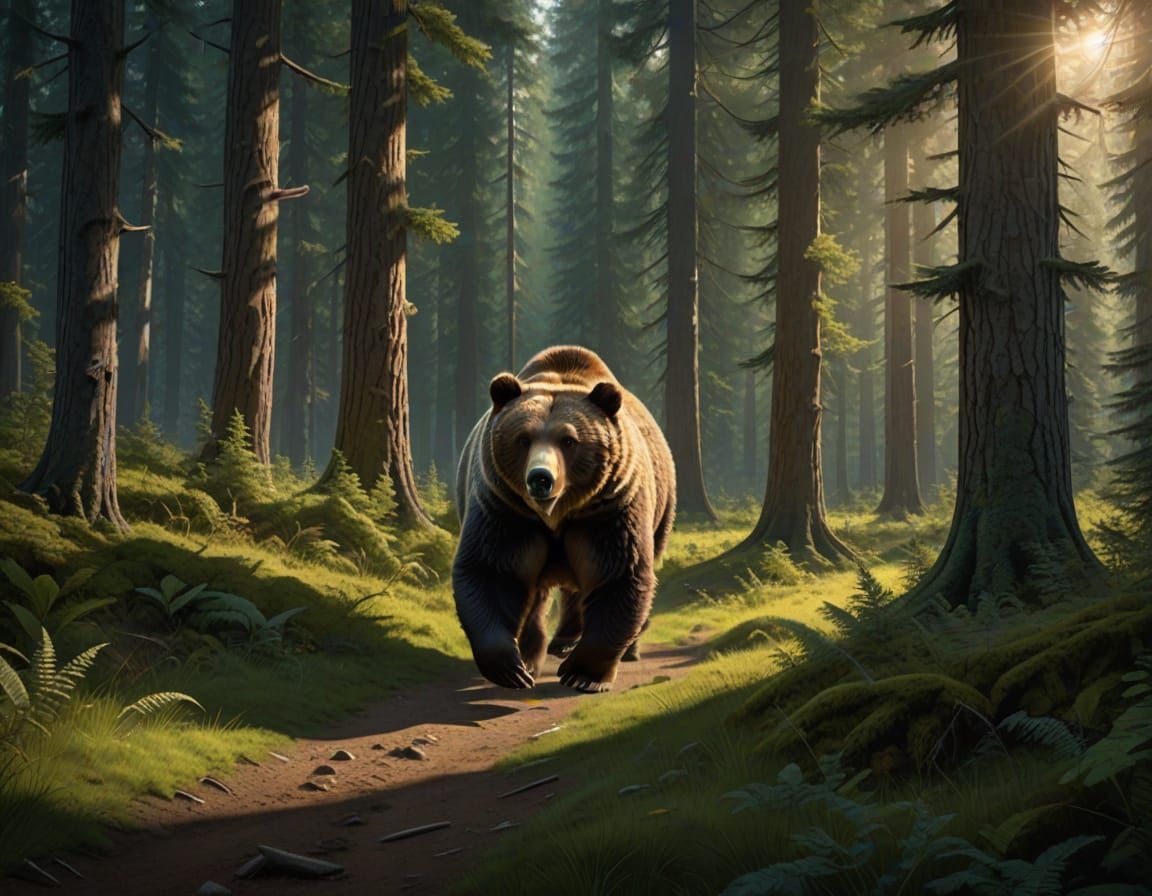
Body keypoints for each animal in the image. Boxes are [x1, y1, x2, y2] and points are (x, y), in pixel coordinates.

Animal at [452, 345, 676, 692]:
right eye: (523, 438)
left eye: (569, 440)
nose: (540, 478)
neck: (555, 515)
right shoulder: (505, 509)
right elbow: (492, 571)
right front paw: (512, 669)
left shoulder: (608, 510)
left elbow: (618, 574)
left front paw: (582, 674)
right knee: (539, 596)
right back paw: (539, 652)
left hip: (660, 513)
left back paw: (617, 649)